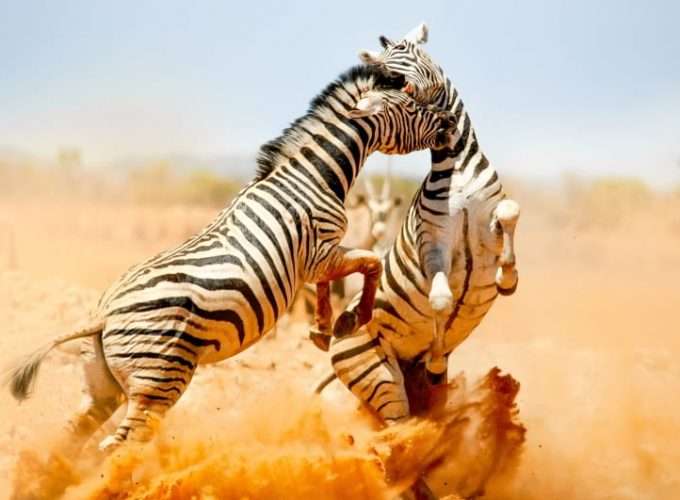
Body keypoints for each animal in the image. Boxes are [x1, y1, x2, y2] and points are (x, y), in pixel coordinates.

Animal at [3, 62, 456, 458]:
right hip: (157, 382)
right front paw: (351, 319)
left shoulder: (318, 259)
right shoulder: (319, 253)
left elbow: (341, 278)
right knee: (118, 446)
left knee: (69, 441)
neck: (312, 177)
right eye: (413, 106)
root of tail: (103, 315)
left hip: (102, 387)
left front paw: (324, 328)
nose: (450, 124)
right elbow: (370, 262)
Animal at [318, 24, 520, 426]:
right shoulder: (432, 239)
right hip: (377, 375)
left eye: (404, 51)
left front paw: (508, 277)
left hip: (418, 387)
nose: (375, 74)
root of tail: (335, 340)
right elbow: (441, 299)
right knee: (393, 427)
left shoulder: (488, 217)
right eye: (374, 61)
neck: (456, 165)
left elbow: (510, 211)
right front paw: (438, 357)